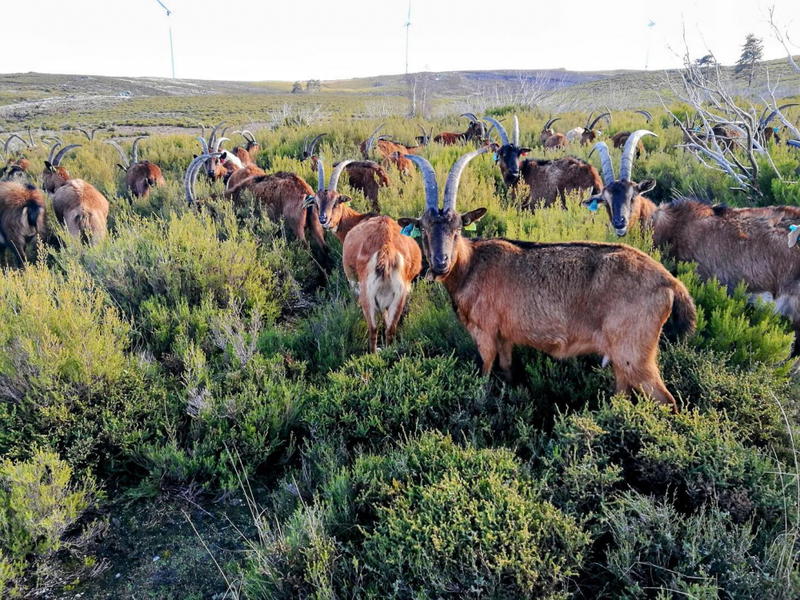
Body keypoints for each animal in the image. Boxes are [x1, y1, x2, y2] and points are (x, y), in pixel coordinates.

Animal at [309, 159, 421, 351]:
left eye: (336, 201)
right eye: (316, 202)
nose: (324, 220)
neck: (356, 220)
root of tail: (385, 249)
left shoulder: (353, 281)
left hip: (367, 294)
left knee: (373, 329)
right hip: (399, 296)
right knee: (390, 329)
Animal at [398, 147, 695, 410]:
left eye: (458, 228)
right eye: (424, 230)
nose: (441, 262)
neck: (471, 265)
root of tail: (669, 281)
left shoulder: (485, 334)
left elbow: (485, 374)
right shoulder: (505, 337)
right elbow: (507, 370)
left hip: (635, 353)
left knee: (666, 400)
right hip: (621, 356)